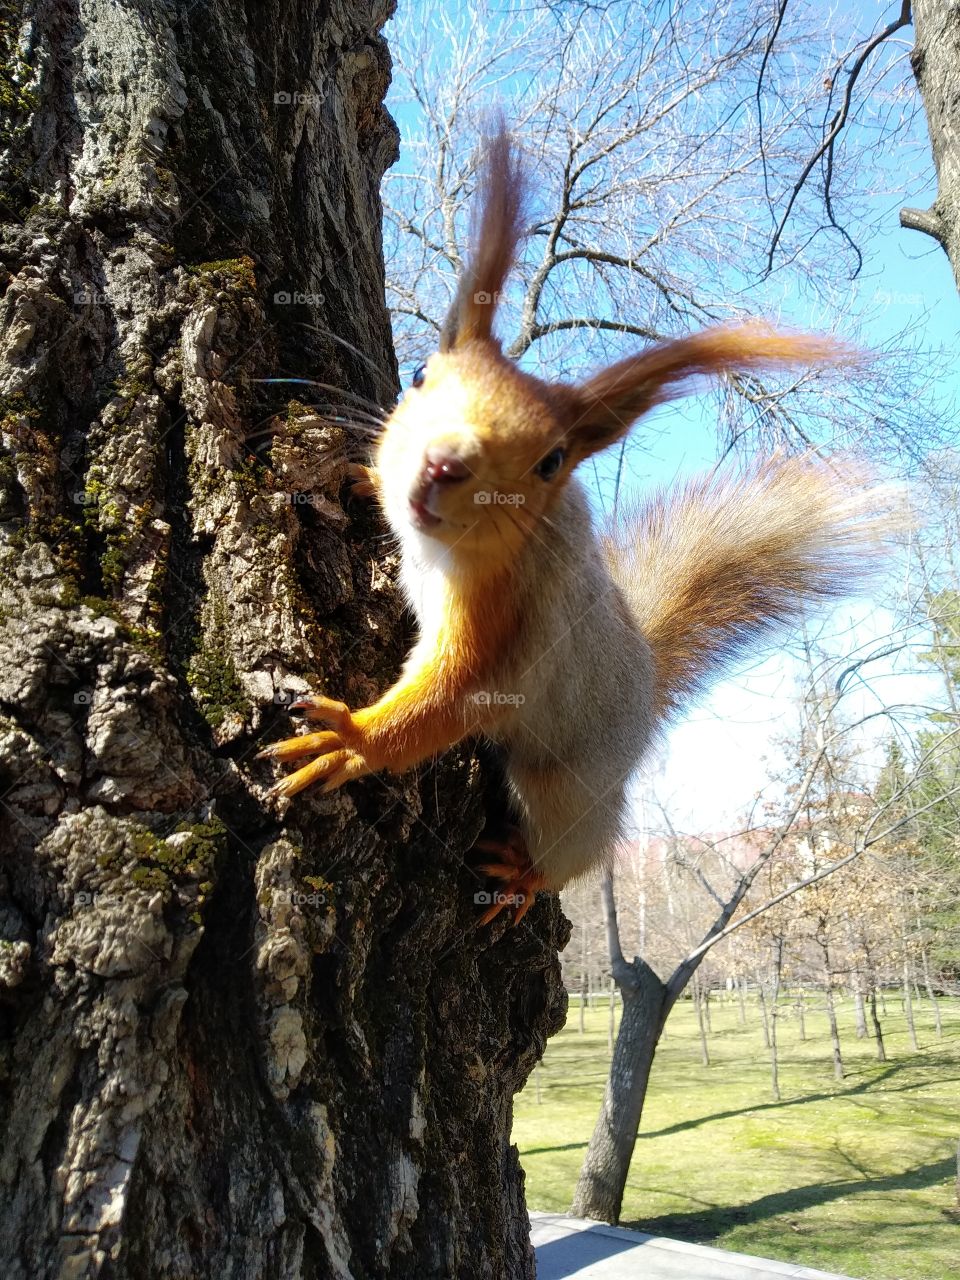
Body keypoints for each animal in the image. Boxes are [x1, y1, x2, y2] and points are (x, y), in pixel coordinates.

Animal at [258, 125, 886, 925]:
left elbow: (443, 703)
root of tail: (644, 703)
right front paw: (359, 476)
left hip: (563, 792)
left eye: (551, 461)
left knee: (573, 853)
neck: (446, 549)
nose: (444, 465)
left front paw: (352, 741)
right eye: (421, 377)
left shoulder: (506, 625)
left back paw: (525, 875)